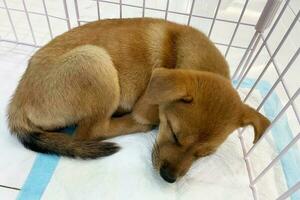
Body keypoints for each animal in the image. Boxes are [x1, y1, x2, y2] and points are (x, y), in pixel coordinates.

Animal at [7, 17, 270, 183]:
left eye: (204, 155)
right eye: (174, 134)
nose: (168, 179)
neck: (179, 52)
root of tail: (16, 104)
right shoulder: (146, 107)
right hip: (94, 60)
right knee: (91, 131)